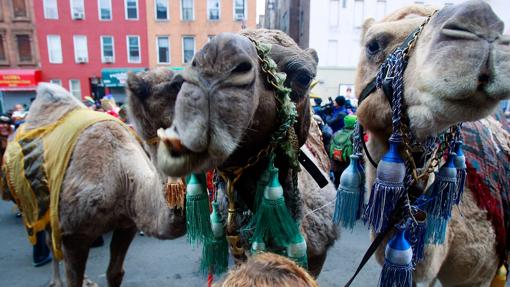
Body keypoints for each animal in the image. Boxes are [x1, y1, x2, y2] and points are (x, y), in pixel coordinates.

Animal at [1, 84, 186, 287]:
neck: (122, 177)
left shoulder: (127, 223)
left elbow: (115, 273)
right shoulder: (72, 234)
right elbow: (73, 279)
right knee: (50, 242)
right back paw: (56, 281)